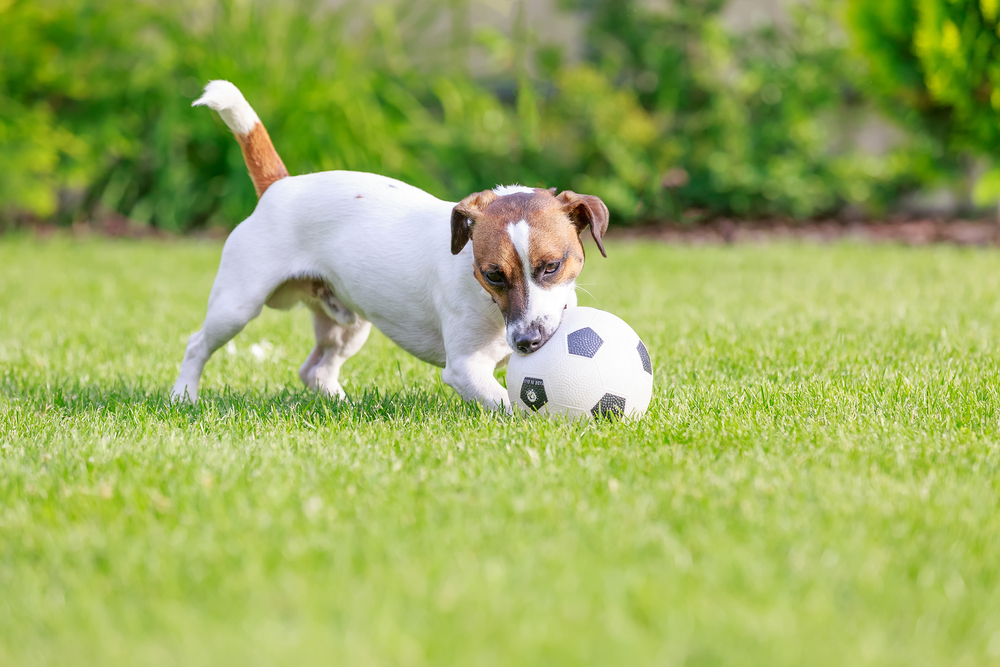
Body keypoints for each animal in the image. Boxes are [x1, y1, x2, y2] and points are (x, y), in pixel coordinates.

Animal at [173, 80, 608, 410]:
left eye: (551, 266)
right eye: (493, 275)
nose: (526, 341)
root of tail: (280, 184)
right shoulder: (465, 367)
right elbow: (507, 403)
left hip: (349, 325)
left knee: (314, 370)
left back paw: (342, 405)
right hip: (236, 306)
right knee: (196, 345)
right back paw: (184, 396)